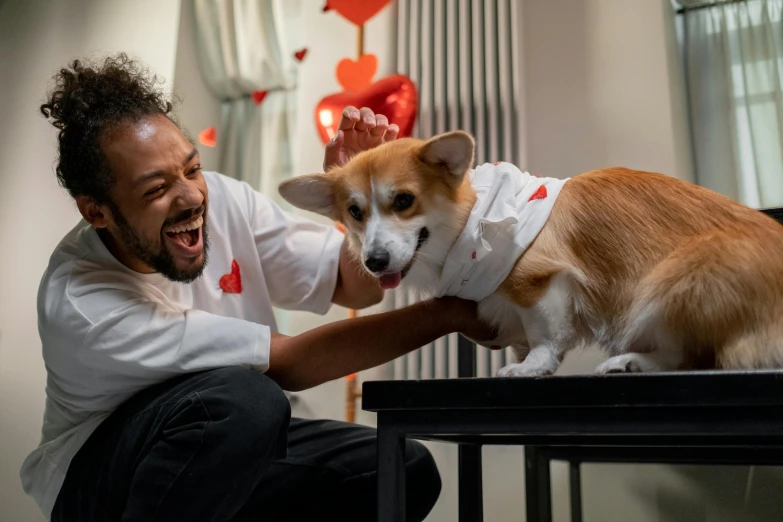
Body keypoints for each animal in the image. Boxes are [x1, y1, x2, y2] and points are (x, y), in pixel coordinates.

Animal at [280, 129, 783, 374]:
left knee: (692, 355)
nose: (374, 263)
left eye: (403, 201)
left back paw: (633, 362)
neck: (470, 223)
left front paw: (530, 367)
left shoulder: (539, 281)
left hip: (678, 276)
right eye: (354, 212)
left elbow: (546, 334)